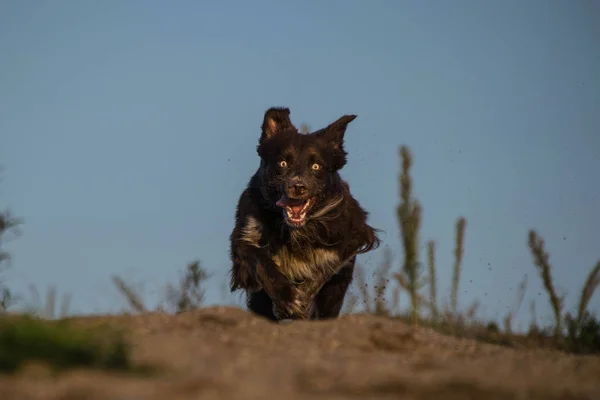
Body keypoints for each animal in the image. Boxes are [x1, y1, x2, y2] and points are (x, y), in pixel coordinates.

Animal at [230, 107, 380, 322]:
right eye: (282, 163)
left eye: (316, 166)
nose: (298, 186)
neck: (295, 229)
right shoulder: (245, 234)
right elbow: (260, 260)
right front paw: (288, 299)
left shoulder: (354, 232)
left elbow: (326, 266)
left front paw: (301, 297)